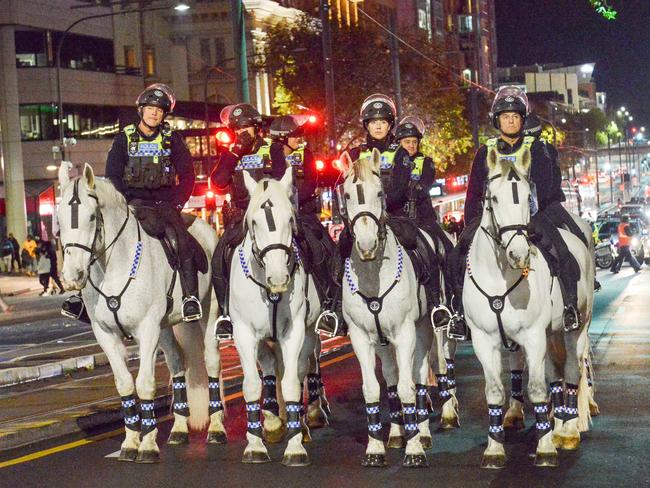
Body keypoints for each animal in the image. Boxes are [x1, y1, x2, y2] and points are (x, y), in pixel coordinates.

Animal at [56, 163, 218, 462]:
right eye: (59, 219)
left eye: (92, 216)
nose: (73, 276)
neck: (114, 266)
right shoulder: (106, 334)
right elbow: (124, 384)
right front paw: (131, 442)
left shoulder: (147, 329)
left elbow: (145, 384)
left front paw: (149, 444)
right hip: (165, 326)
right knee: (177, 363)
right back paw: (179, 429)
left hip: (208, 314)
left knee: (211, 361)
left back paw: (217, 428)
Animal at [225, 167, 314, 466]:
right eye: (254, 222)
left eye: (290, 218)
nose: (278, 279)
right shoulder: (244, 333)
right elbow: (252, 385)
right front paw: (255, 445)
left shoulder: (294, 331)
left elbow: (291, 384)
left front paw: (295, 447)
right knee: (270, 367)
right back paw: (275, 423)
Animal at [334, 150, 430, 468]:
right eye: (347, 195)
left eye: (380, 192)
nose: (366, 245)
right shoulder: (361, 337)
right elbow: (373, 389)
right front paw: (375, 449)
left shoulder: (405, 333)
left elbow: (407, 386)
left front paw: (415, 451)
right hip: (383, 342)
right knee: (390, 376)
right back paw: (398, 434)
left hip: (425, 330)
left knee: (420, 374)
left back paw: (423, 432)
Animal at [460, 153, 592, 468]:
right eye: (494, 198)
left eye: (525, 196)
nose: (518, 254)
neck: (500, 277)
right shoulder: (484, 340)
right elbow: (495, 391)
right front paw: (494, 449)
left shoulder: (532, 336)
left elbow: (537, 389)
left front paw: (545, 448)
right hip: (551, 333)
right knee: (555, 371)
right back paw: (558, 426)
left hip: (576, 328)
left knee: (572, 369)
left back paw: (568, 431)